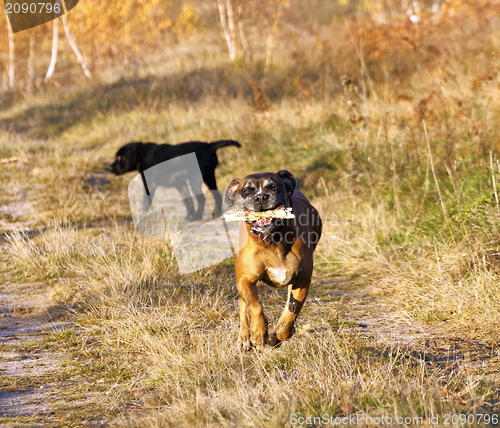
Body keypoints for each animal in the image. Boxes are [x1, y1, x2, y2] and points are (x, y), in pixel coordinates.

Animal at [110, 140, 242, 221]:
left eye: (119, 157)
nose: (109, 168)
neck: (141, 154)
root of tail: (209, 146)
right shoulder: (180, 185)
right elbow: (187, 201)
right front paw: (189, 216)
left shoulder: (149, 183)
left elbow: (146, 200)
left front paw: (141, 213)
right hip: (208, 177)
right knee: (216, 195)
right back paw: (216, 214)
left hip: (196, 179)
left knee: (201, 198)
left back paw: (197, 216)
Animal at [225, 171, 322, 352]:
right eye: (245, 191)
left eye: (274, 187)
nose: (261, 197)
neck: (272, 239)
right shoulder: (245, 280)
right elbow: (255, 306)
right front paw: (258, 333)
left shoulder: (302, 281)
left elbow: (291, 311)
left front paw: (278, 334)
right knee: (243, 304)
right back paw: (244, 337)